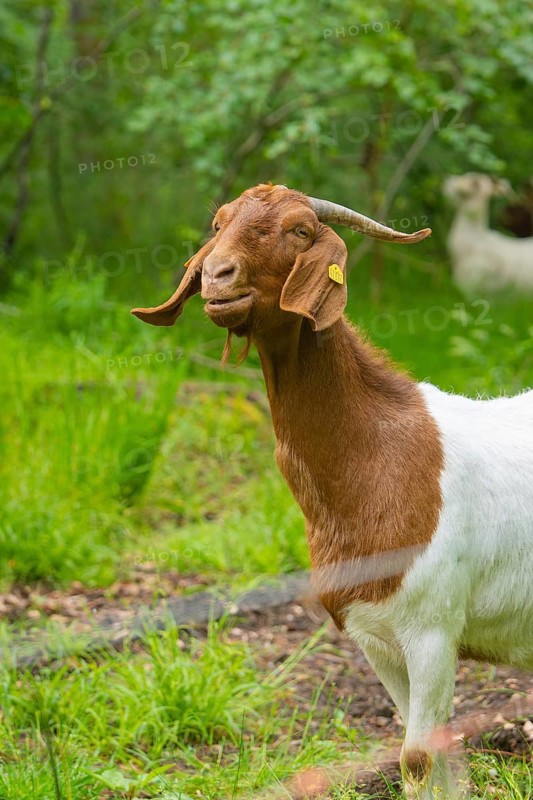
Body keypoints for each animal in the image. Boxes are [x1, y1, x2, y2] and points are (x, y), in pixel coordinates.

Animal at [132, 183, 533, 799]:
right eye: (218, 223)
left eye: (300, 230)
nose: (218, 277)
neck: (381, 458)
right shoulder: (374, 637)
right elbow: (441, 756)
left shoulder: (433, 631)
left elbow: (417, 758)